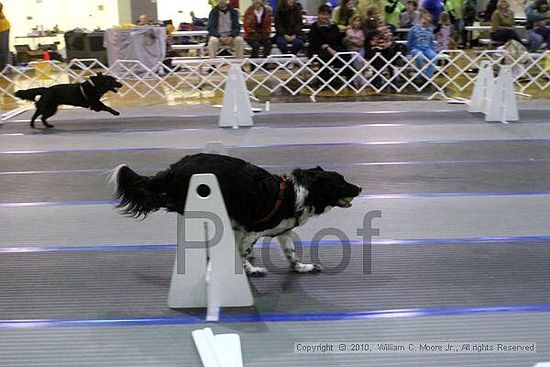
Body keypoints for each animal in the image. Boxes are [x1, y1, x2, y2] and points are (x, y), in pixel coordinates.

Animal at [110, 152, 364, 276]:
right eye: (341, 182)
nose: (360, 188)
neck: (298, 193)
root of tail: (175, 168)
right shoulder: (251, 230)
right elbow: (243, 253)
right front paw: (250, 270)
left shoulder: (282, 231)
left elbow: (291, 254)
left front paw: (302, 268)